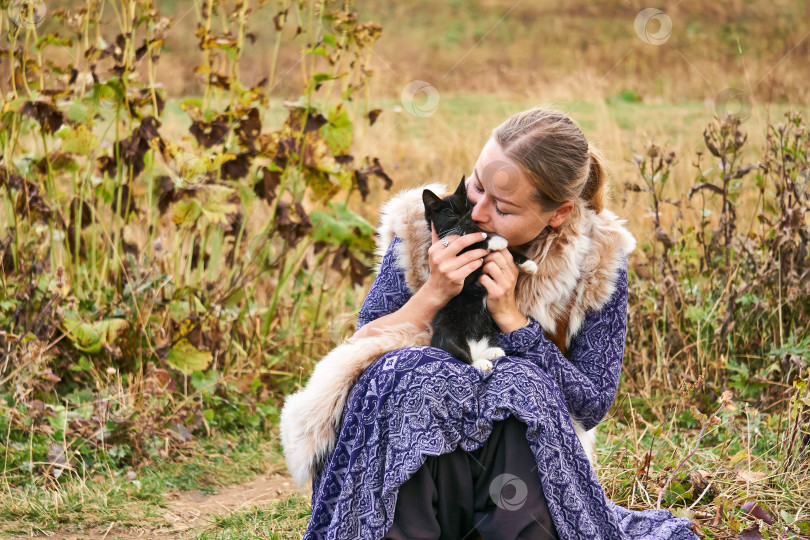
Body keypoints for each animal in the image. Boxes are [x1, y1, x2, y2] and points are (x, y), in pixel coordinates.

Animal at [422, 177, 536, 372]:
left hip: (487, 331)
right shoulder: (464, 274)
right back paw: (480, 363)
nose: (469, 220)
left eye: (469, 207)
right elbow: (475, 246)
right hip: (446, 330)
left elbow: (507, 252)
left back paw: (492, 352)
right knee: (459, 354)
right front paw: (495, 240)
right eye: (451, 214)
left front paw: (528, 263)